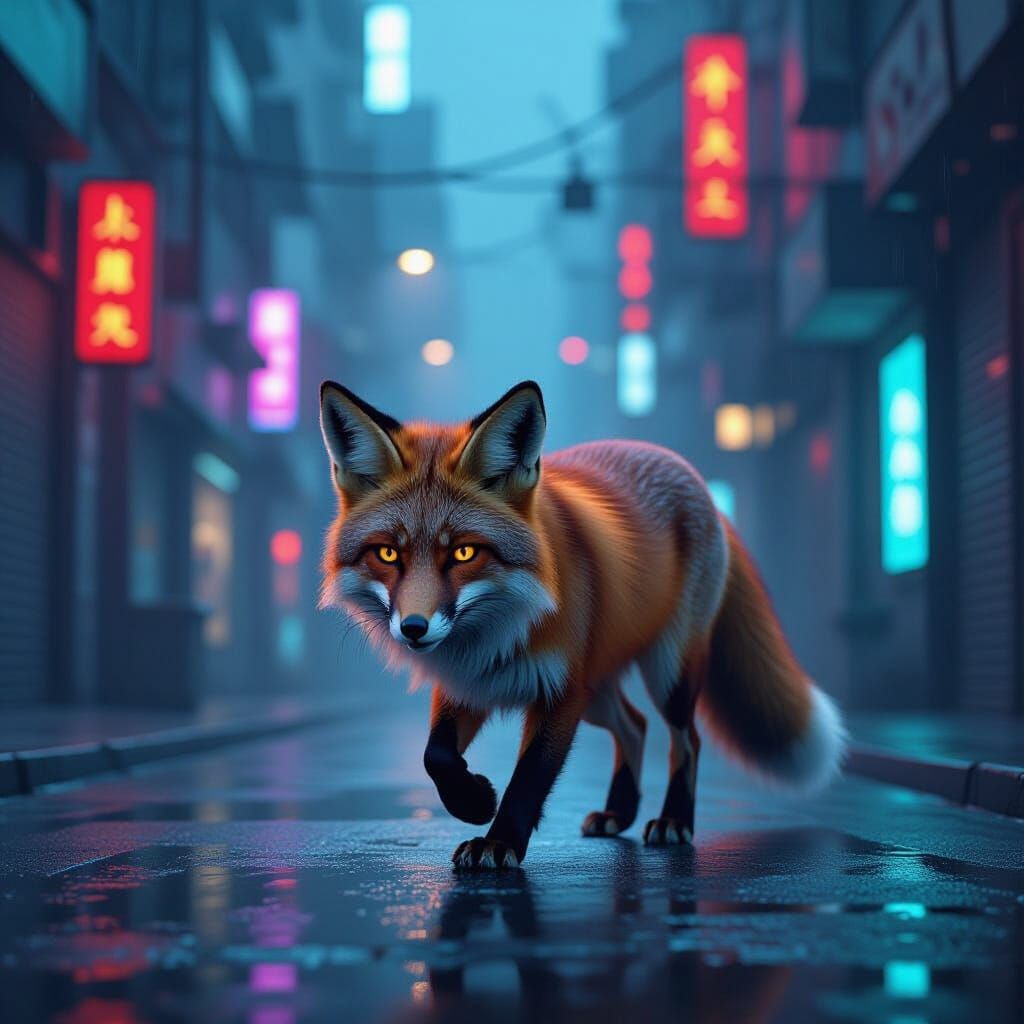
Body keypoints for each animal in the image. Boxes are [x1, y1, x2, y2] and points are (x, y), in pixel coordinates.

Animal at [319, 379, 846, 870]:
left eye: (465, 553)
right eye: (389, 554)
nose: (413, 628)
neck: (497, 634)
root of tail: (685, 470)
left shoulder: (560, 691)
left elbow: (529, 778)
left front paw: (497, 841)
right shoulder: (464, 684)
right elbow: (436, 757)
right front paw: (472, 802)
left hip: (666, 673)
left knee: (686, 739)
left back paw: (674, 820)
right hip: (598, 691)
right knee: (635, 726)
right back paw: (620, 813)